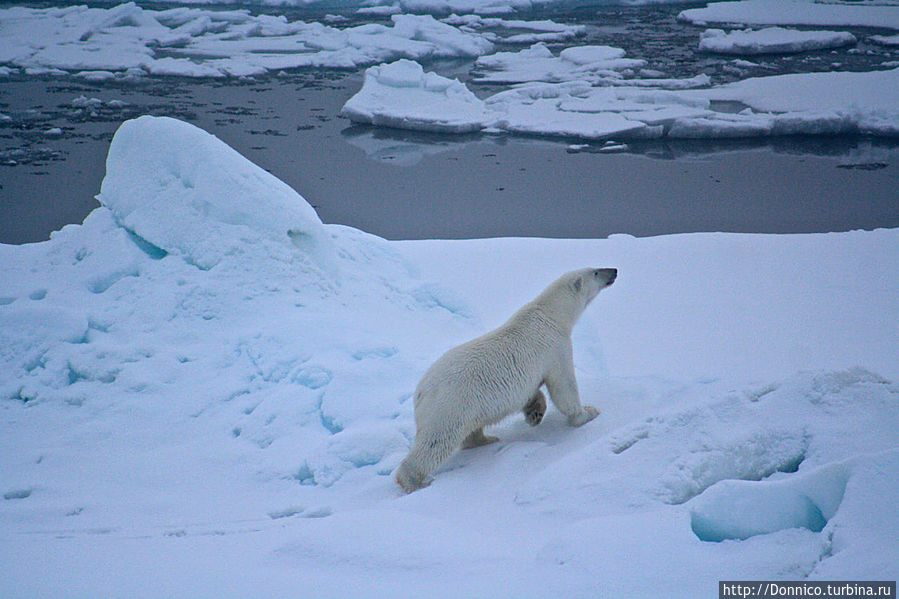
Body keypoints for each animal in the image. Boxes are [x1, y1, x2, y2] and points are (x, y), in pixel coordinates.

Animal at [400, 268, 620, 492]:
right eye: (596, 271)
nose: (614, 271)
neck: (550, 314)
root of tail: (420, 392)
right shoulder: (555, 347)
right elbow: (564, 386)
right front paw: (588, 413)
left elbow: (533, 392)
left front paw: (535, 413)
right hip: (450, 404)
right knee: (437, 441)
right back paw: (414, 481)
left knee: (469, 430)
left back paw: (487, 439)